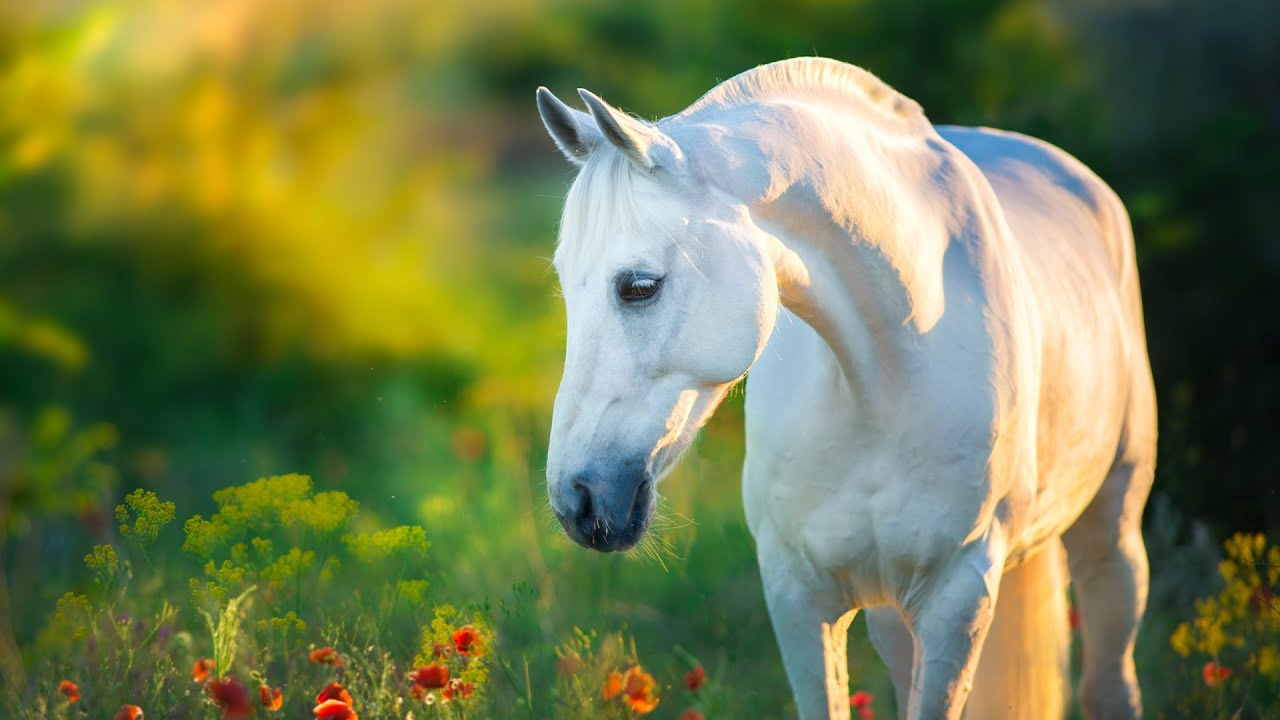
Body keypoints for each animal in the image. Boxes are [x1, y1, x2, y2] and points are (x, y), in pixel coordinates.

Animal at [535, 56, 1157, 717]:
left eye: (639, 286)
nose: (578, 500)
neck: (882, 380)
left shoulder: (957, 597)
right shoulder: (798, 596)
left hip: (1111, 538)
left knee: (1110, 679)